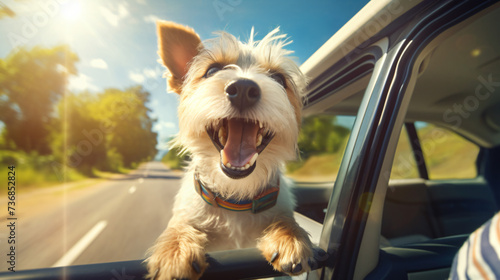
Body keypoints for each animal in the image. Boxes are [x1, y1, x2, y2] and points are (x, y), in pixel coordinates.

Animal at [145, 21, 326, 280]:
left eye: (279, 78)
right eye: (211, 70)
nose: (243, 88)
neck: (235, 196)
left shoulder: (279, 206)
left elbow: (285, 219)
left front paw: (291, 236)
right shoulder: (188, 214)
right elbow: (180, 224)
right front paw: (175, 250)